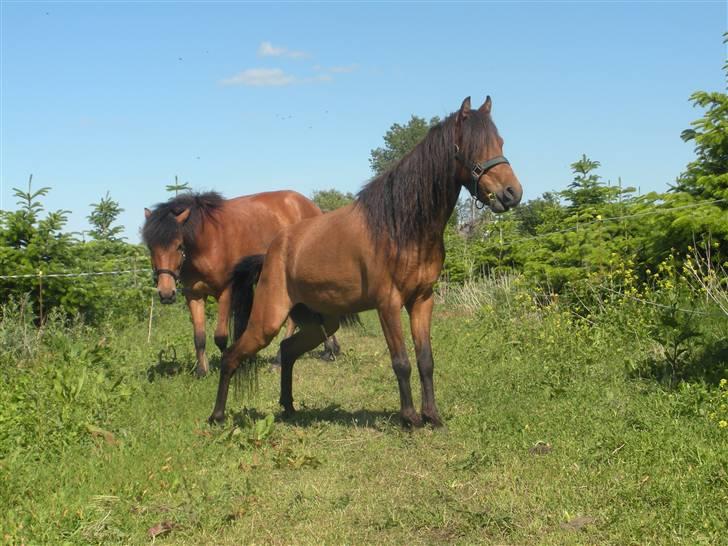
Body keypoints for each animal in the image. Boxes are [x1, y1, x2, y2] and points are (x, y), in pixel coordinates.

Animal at [143, 190, 342, 374]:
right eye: (151, 247)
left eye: (178, 245)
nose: (166, 293)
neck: (207, 242)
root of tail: (314, 208)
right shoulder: (193, 294)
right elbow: (199, 337)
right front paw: (202, 372)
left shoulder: (226, 291)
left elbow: (220, 336)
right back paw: (328, 350)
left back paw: (281, 361)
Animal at [210, 96, 524, 424]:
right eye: (473, 146)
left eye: (500, 142)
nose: (511, 193)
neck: (399, 227)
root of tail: (271, 253)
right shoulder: (388, 303)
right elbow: (401, 362)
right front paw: (410, 418)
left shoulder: (422, 300)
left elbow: (425, 361)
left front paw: (432, 417)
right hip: (267, 321)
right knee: (231, 356)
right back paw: (217, 416)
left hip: (322, 322)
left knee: (287, 349)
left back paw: (289, 407)